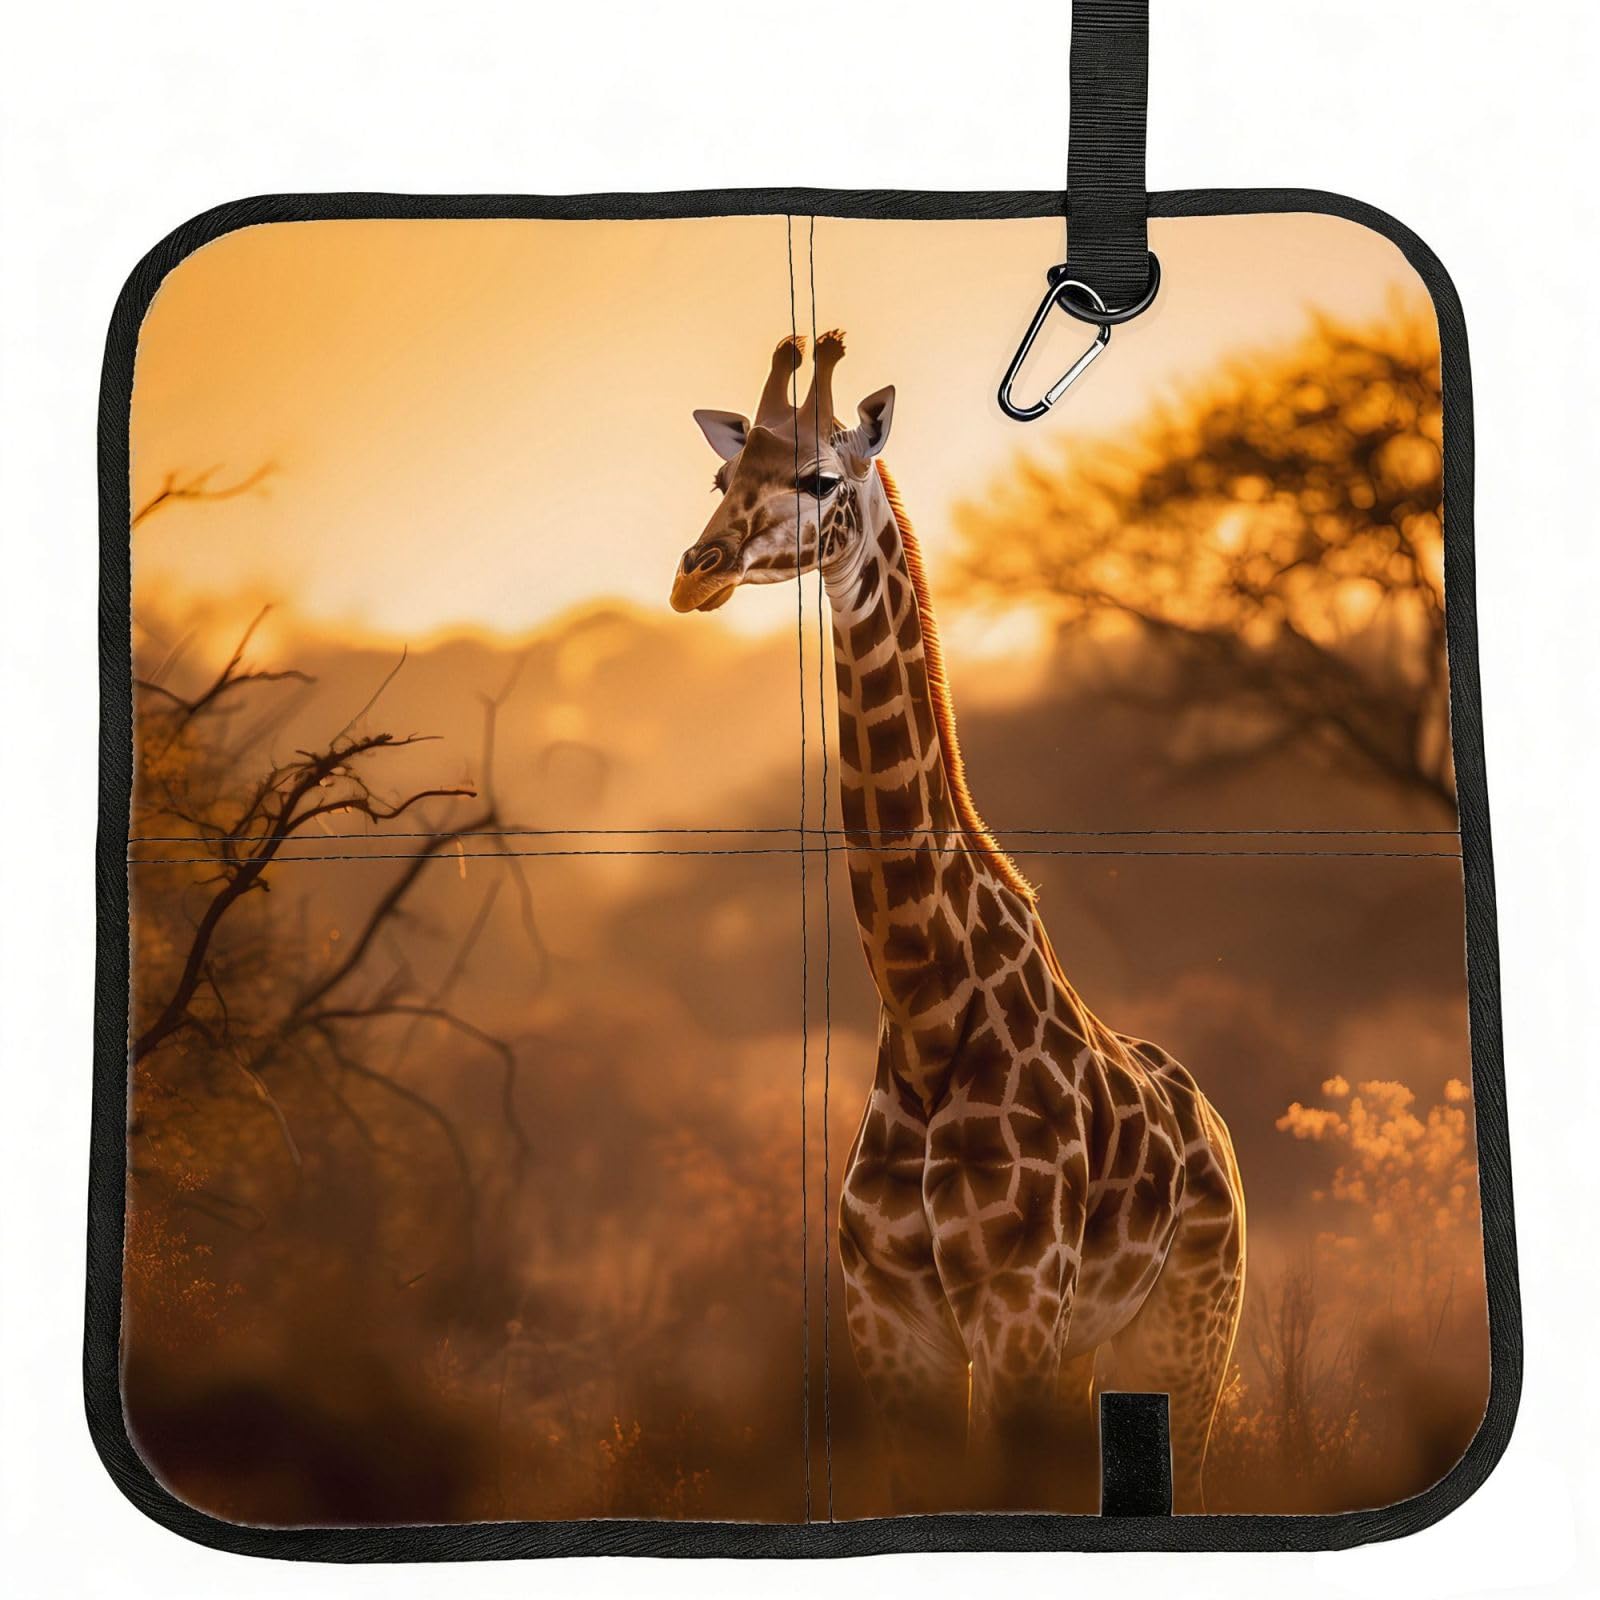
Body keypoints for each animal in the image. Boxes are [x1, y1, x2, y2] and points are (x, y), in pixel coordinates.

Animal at [669, 332, 1246, 1515]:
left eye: (821, 480)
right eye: (720, 475)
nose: (695, 572)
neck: (927, 1014)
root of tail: (1218, 1132)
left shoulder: (1014, 1312)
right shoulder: (892, 1322)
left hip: (1189, 1329)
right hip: (1096, 1349)